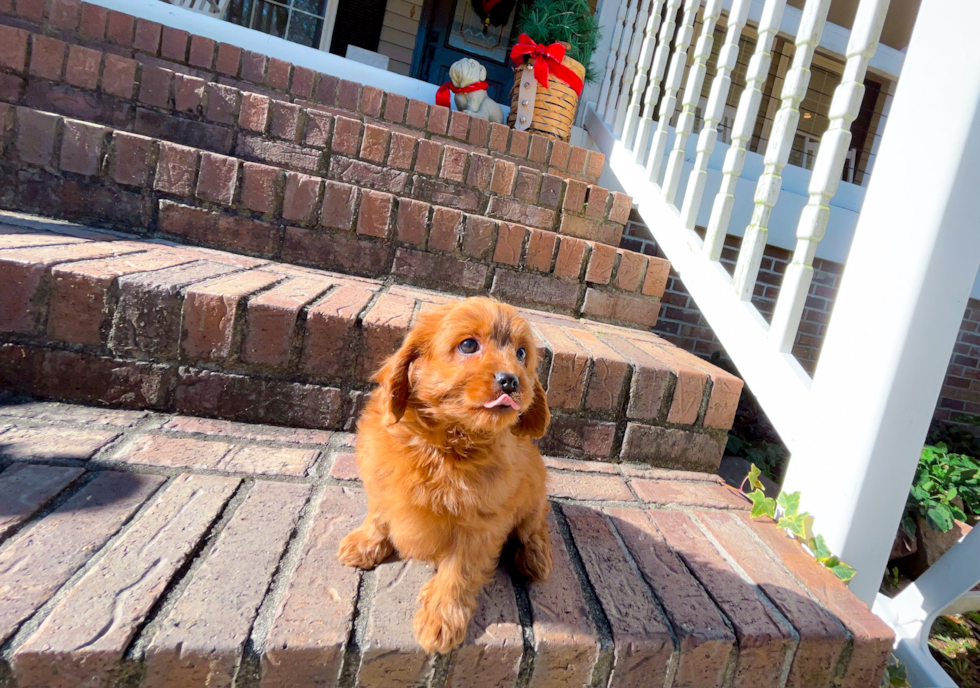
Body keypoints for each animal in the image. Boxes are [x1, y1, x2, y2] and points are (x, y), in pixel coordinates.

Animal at [336, 296, 552, 652]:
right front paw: (365, 543)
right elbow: (379, 514)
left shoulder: (480, 523)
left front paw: (441, 619)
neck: (443, 445)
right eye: (468, 345)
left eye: (522, 353)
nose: (511, 380)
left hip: (534, 488)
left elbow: (458, 571)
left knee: (534, 525)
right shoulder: (381, 480)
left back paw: (535, 557)